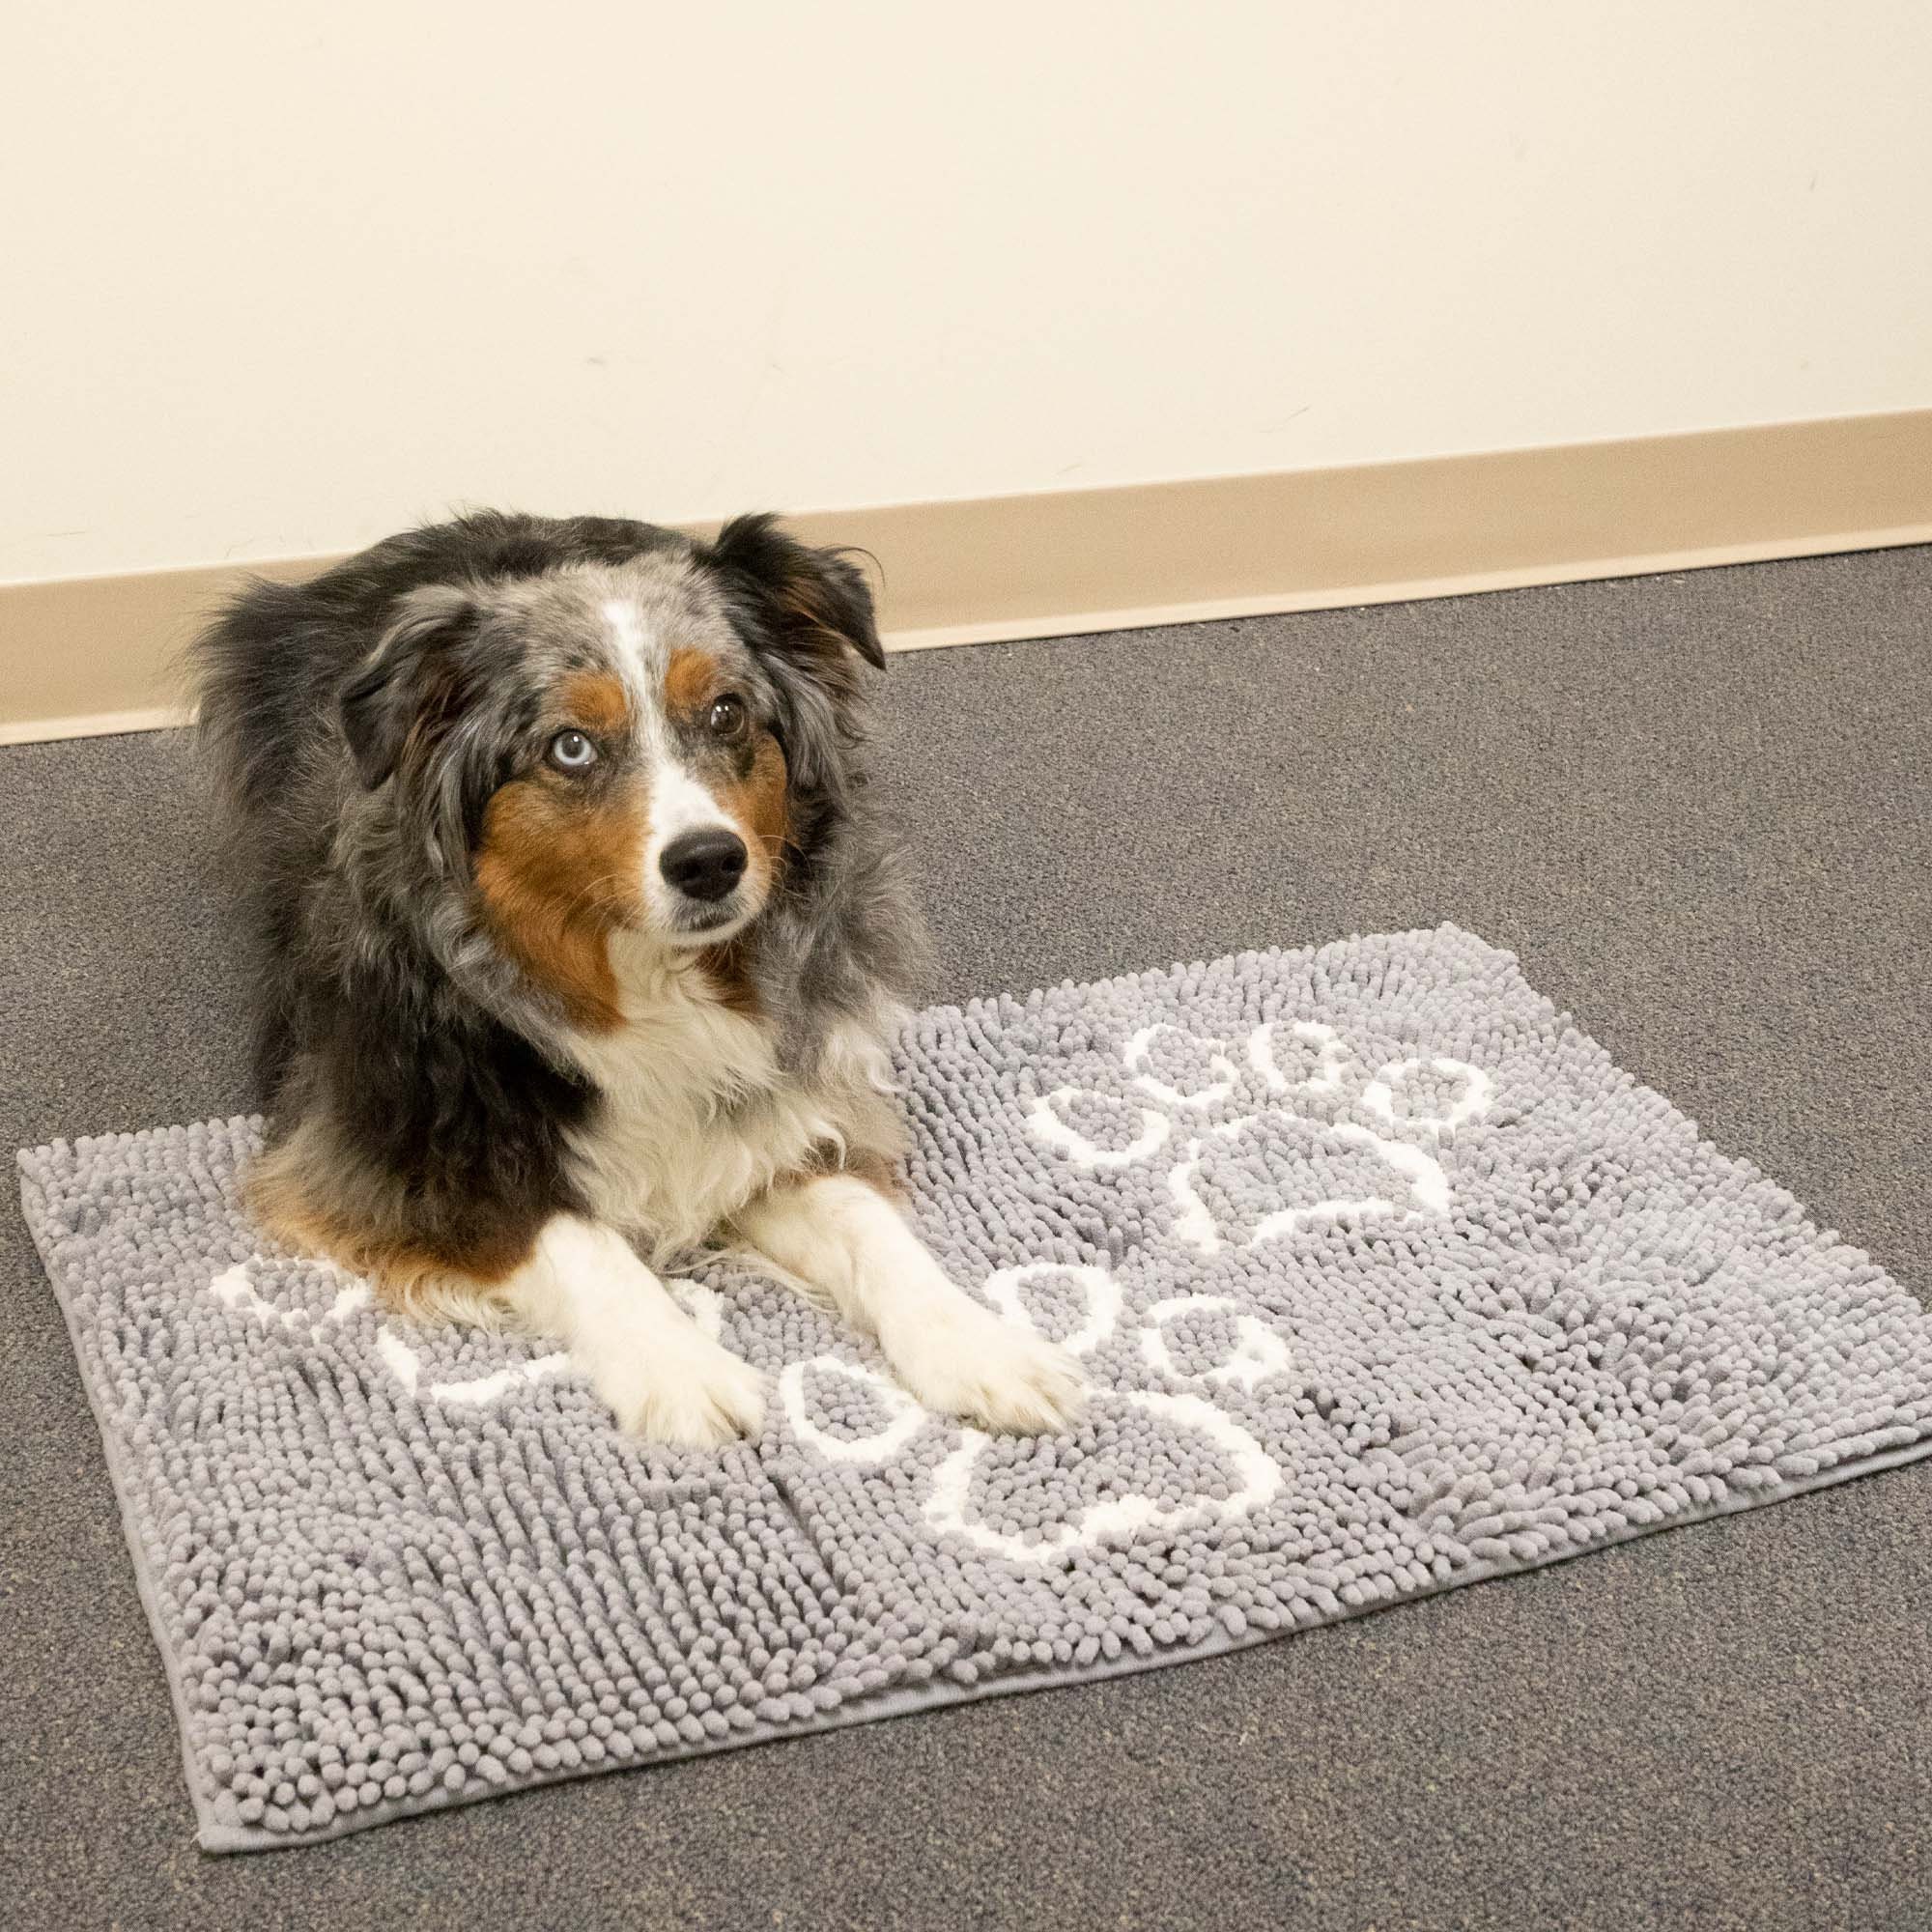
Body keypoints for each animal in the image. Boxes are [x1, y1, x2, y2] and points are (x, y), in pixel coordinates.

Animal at [196, 514, 1090, 1453]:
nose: (709, 862)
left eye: (727, 712)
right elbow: (573, 1237)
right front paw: (681, 1367)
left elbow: (867, 1224)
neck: (647, 982)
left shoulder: (782, 1100)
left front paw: (980, 1345)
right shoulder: (373, 1153)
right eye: (571, 746)